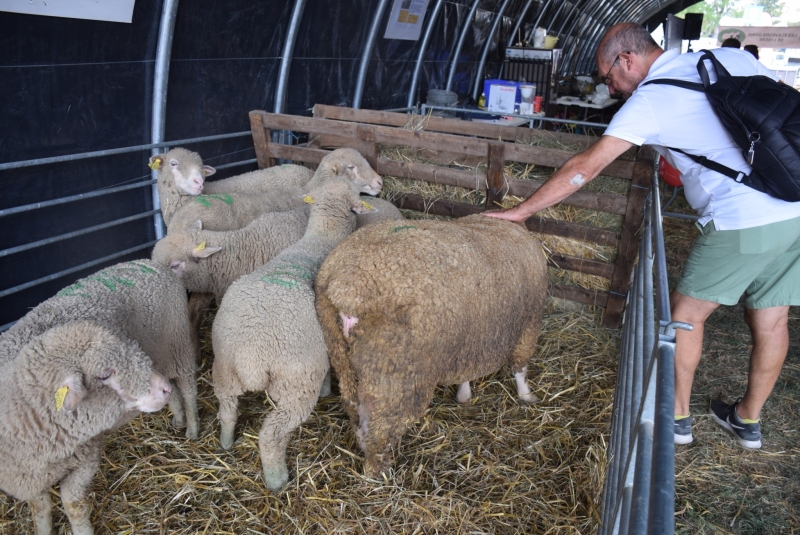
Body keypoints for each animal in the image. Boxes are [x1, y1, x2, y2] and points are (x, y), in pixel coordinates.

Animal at [0, 320, 173, 532]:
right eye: (105, 374)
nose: (166, 387)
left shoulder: (86, 461)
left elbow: (74, 506)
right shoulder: (26, 484)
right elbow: (40, 510)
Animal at [3, 260, 203, 440]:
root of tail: (153, 263)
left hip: (177, 345)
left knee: (188, 389)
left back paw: (192, 430)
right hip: (161, 355)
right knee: (172, 389)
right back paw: (179, 419)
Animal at [211, 178, 376, 492]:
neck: (319, 240)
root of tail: (251, 357)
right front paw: (327, 391)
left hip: (224, 371)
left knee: (227, 410)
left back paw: (226, 443)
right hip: (296, 385)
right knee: (272, 435)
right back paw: (277, 480)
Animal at [314, 216, 552, 480]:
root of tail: (347, 287)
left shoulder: (469, 339)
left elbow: (466, 372)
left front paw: (464, 395)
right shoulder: (528, 326)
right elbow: (520, 368)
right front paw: (527, 396)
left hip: (342, 355)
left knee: (356, 409)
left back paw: (364, 446)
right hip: (398, 372)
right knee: (383, 427)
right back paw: (379, 471)